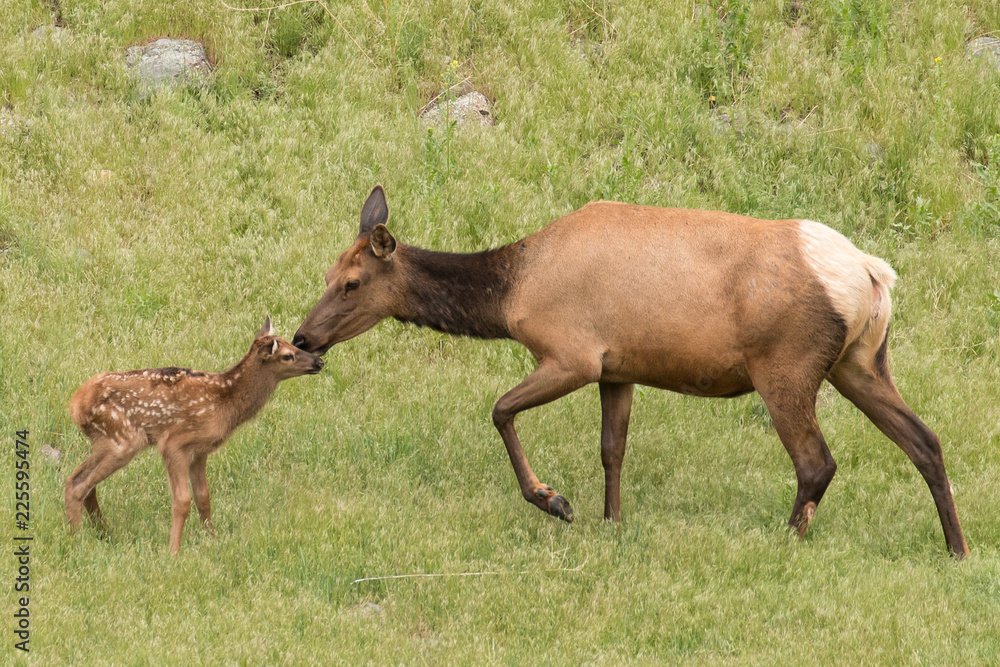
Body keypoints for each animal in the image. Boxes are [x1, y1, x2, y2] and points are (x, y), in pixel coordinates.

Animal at [67, 318, 324, 554]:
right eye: (288, 356)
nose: (319, 361)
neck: (224, 403)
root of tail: (76, 404)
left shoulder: (200, 451)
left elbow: (203, 497)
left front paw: (212, 540)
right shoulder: (174, 443)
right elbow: (182, 501)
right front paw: (173, 552)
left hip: (108, 440)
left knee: (83, 482)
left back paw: (104, 534)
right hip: (122, 438)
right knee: (77, 484)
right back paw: (78, 541)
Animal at [292, 185, 969, 557]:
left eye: (351, 283)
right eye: (327, 273)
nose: (303, 337)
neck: (512, 294)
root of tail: (873, 276)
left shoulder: (573, 353)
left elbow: (500, 409)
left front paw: (555, 501)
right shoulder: (619, 367)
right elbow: (612, 449)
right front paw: (612, 524)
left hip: (787, 364)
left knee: (817, 462)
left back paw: (785, 542)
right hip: (860, 361)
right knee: (926, 440)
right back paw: (957, 549)